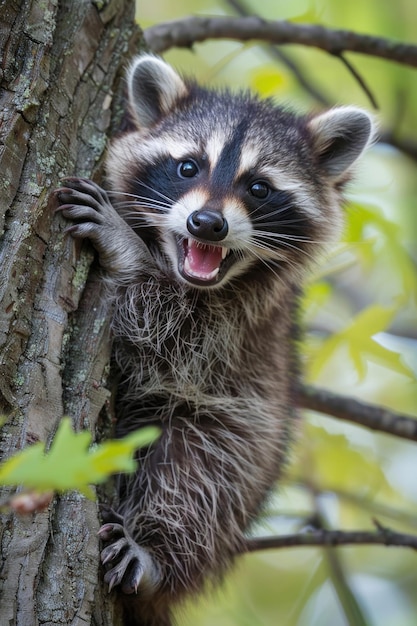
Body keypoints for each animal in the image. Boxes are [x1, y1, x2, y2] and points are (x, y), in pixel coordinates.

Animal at [56, 54, 374, 624]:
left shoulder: (240, 325)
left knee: (200, 471)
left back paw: (159, 555)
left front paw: (125, 248)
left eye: (259, 188)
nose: (207, 223)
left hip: (243, 437)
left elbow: (169, 334)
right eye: (188, 167)